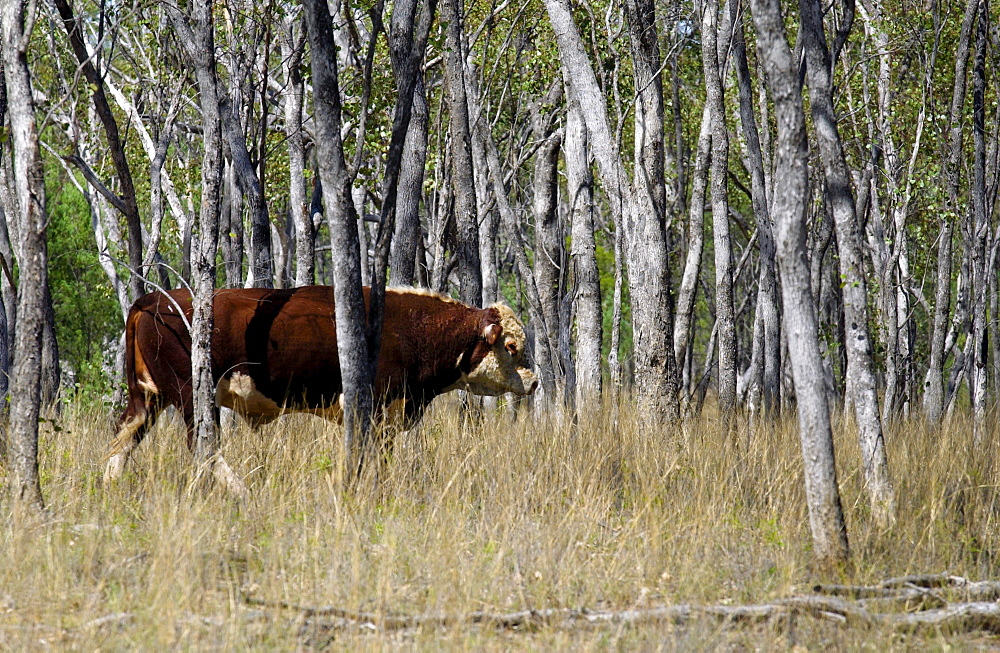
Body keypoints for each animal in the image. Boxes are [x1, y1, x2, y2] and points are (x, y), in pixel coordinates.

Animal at [104, 286, 536, 484]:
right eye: (511, 345)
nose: (533, 383)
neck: (411, 327)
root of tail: (153, 300)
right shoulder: (371, 406)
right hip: (191, 396)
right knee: (203, 444)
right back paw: (241, 490)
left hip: (149, 397)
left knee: (124, 435)